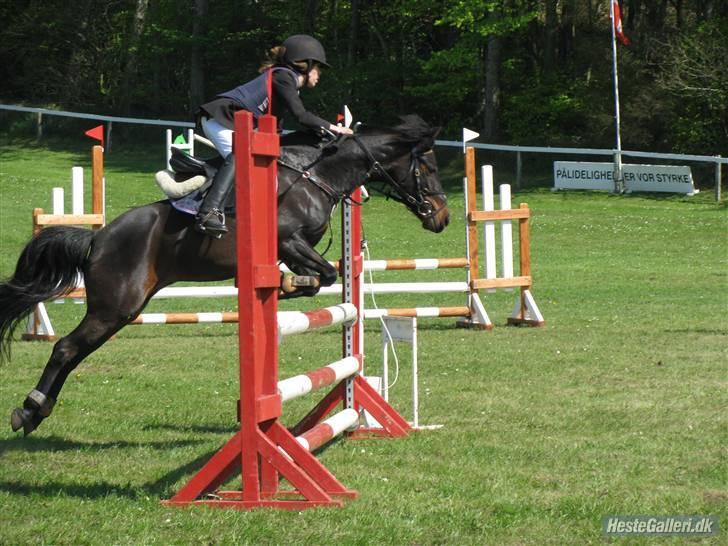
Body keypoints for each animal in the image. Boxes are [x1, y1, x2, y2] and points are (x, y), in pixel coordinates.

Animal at [0, 114, 449, 436]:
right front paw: (285, 286)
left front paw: (286, 286)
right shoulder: (289, 241)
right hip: (114, 307)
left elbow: (323, 277)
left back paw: (36, 411)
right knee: (65, 348)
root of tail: (98, 238)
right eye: (427, 167)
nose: (442, 218)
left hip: (123, 310)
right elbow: (323, 275)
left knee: (75, 351)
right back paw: (30, 409)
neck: (317, 176)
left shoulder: (296, 249)